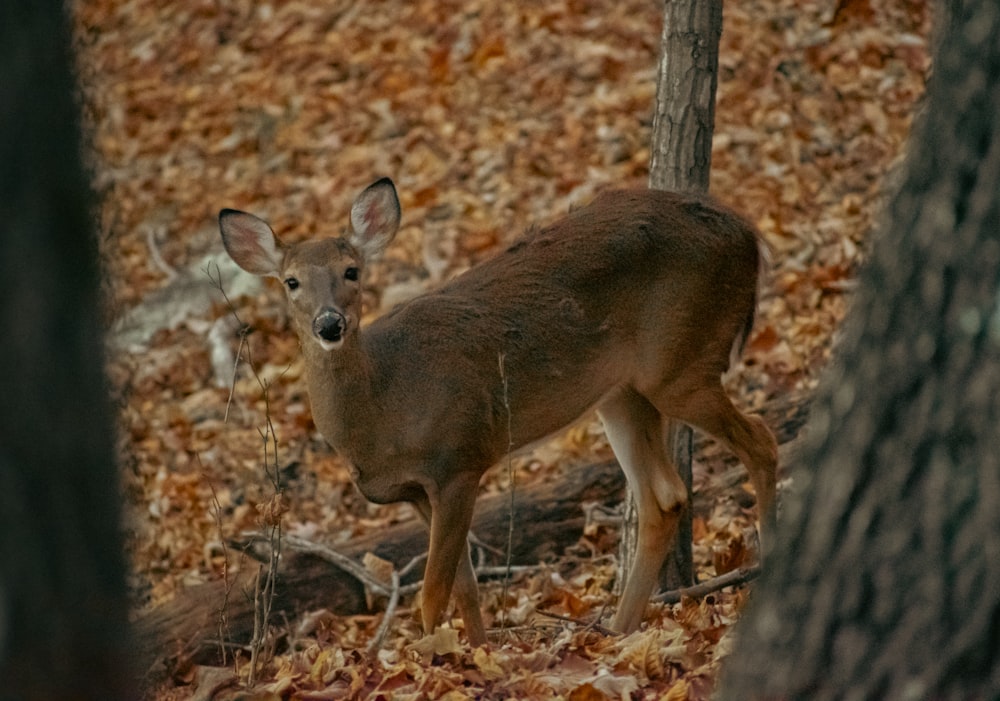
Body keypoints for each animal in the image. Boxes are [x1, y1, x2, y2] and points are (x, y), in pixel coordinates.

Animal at [221, 176, 780, 644]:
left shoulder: (458, 459)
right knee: (664, 496)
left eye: (351, 271)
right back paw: (618, 631)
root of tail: (747, 235)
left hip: (681, 363)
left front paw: (431, 662)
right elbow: (464, 587)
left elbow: (433, 592)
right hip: (622, 392)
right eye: (291, 281)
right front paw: (476, 653)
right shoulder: (417, 490)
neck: (384, 406)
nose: (329, 324)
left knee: (762, 441)